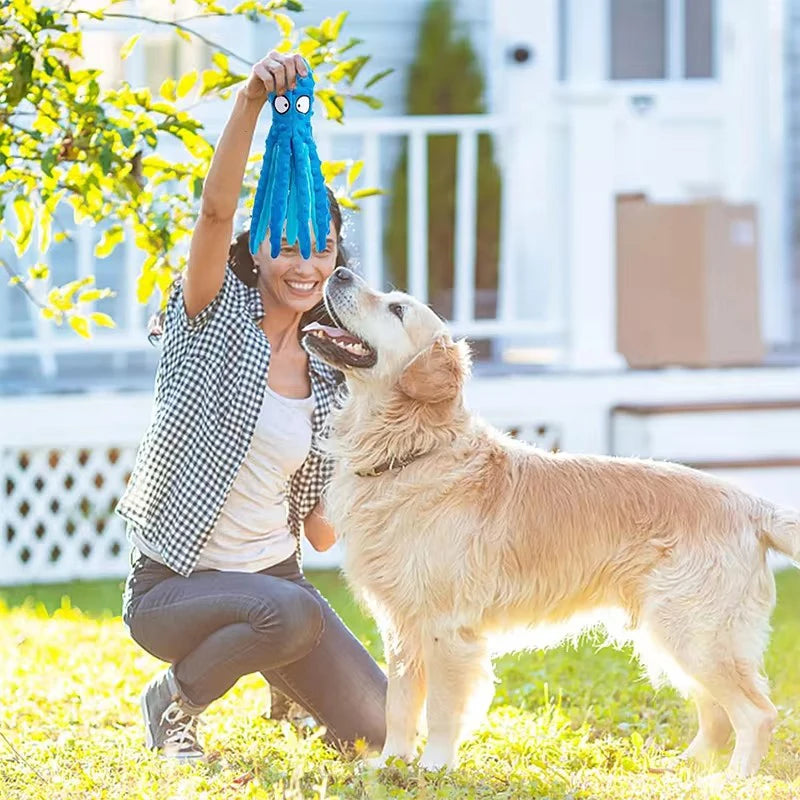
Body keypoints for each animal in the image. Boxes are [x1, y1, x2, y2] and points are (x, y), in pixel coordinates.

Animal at [304, 268, 796, 776]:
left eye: (397, 309)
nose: (339, 271)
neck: (412, 449)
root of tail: (753, 505)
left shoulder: (447, 628)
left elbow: (439, 710)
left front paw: (434, 767)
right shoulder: (401, 628)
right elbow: (398, 704)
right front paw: (390, 763)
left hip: (695, 634)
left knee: (756, 713)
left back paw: (730, 780)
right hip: (672, 635)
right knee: (716, 715)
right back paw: (684, 769)